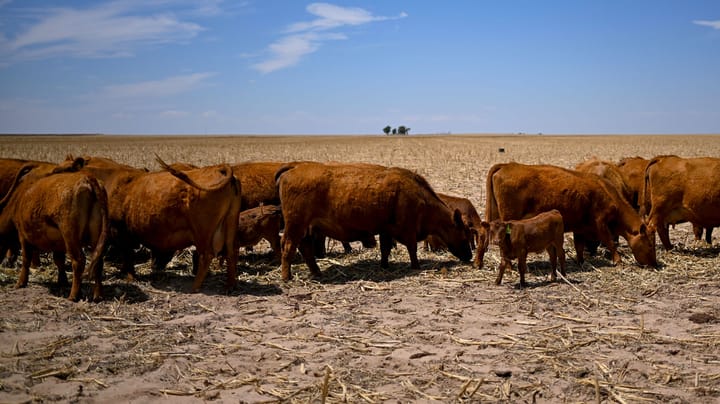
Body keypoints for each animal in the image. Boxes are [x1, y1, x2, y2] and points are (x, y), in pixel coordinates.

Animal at [0, 159, 108, 301]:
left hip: (70, 234)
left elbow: (26, 260)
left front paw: (20, 283)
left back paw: (73, 295)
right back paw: (98, 295)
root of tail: (88, 179)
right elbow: (59, 260)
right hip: (95, 236)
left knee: (78, 261)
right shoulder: (58, 242)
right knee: (98, 262)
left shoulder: (23, 235)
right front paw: (62, 281)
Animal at [64, 155, 241, 292]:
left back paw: (195, 287)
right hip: (230, 223)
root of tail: (219, 168)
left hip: (202, 232)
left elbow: (127, 255)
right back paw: (229, 286)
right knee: (231, 252)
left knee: (206, 255)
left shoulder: (119, 230)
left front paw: (130, 277)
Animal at [275, 161, 473, 281]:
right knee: (288, 246)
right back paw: (287, 277)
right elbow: (412, 249)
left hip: (305, 229)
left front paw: (385, 266)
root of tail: (294, 167)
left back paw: (316, 272)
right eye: (464, 235)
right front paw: (416, 266)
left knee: (305, 248)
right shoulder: (408, 230)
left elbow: (385, 249)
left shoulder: (386, 230)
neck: (421, 198)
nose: (470, 256)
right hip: (295, 226)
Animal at [486, 162, 657, 267]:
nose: (654, 263)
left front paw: (580, 262)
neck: (608, 193)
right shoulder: (601, 223)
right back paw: (508, 267)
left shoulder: (580, 227)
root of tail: (506, 165)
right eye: (650, 244)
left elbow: (579, 246)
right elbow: (610, 242)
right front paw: (618, 261)